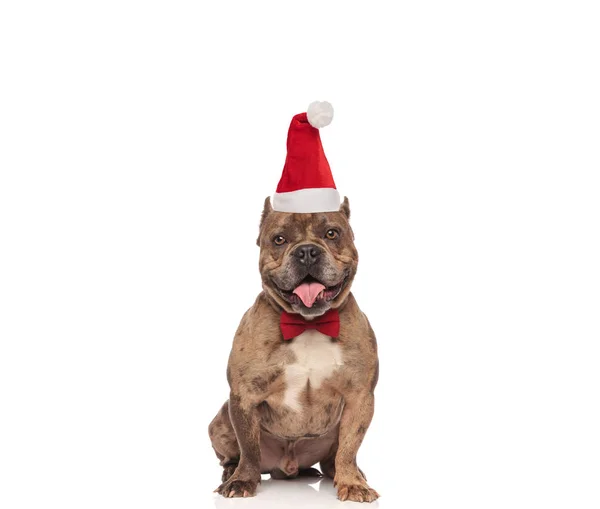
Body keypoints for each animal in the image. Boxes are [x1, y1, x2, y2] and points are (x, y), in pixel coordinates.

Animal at [210, 196, 380, 502]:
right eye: (279, 239)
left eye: (332, 233)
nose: (307, 252)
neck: (307, 324)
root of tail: (286, 467)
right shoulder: (244, 397)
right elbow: (248, 448)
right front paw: (243, 480)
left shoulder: (360, 397)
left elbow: (350, 446)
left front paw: (353, 484)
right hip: (220, 420)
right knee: (234, 454)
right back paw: (231, 472)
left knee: (333, 458)